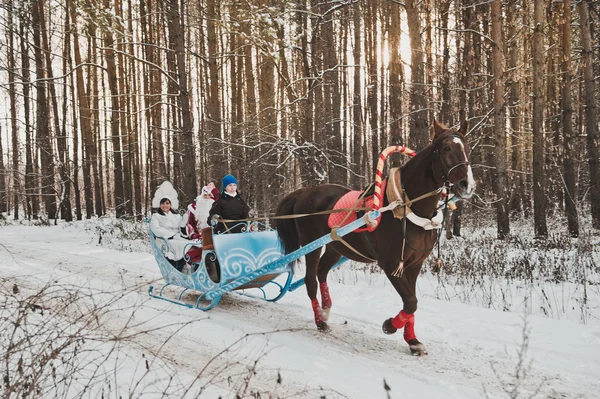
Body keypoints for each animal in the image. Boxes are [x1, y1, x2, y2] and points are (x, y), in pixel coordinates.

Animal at [274, 120, 476, 354]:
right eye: (446, 148)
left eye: (467, 147)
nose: (467, 185)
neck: (404, 207)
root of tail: (305, 192)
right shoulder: (390, 264)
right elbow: (411, 301)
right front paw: (390, 325)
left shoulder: (414, 265)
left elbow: (412, 301)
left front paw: (412, 340)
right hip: (311, 245)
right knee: (310, 280)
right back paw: (320, 321)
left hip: (336, 246)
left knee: (322, 272)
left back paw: (326, 309)